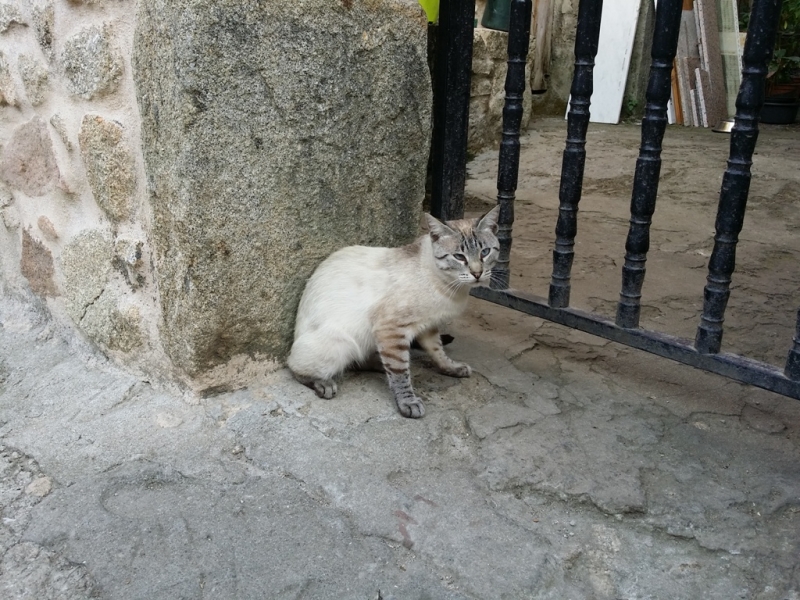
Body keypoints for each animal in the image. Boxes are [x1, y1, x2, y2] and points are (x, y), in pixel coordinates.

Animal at [288, 206, 500, 418]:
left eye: (485, 252)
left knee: (360, 361)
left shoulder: (427, 325)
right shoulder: (391, 329)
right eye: (459, 257)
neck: (451, 288)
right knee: (295, 364)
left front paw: (452, 368)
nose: (477, 274)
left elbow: (438, 352)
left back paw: (380, 366)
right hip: (341, 345)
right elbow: (400, 373)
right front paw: (408, 403)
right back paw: (323, 383)